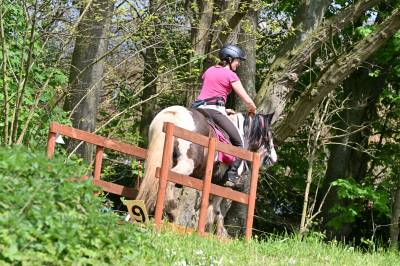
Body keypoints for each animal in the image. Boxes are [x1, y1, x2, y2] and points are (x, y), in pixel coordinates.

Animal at [136, 105, 276, 235]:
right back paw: (172, 212)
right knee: (168, 180)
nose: (274, 158)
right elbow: (217, 210)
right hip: (187, 165)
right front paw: (218, 232)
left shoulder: (211, 180)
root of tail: (173, 113)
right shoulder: (223, 184)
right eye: (269, 134)